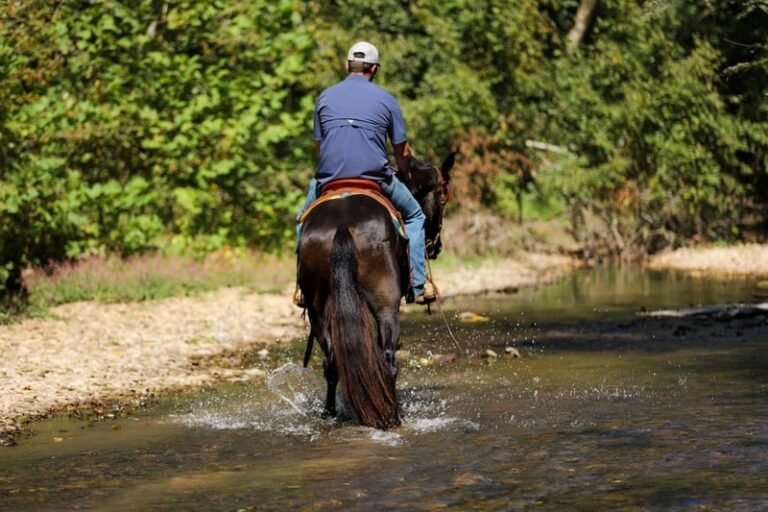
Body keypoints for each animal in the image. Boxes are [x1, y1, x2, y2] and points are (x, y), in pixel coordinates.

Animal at [296, 152, 455, 429]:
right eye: (443, 197)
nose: (436, 247)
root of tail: (342, 226)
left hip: (317, 308)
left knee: (331, 362)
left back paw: (330, 413)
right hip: (385, 303)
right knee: (388, 359)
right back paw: (394, 415)